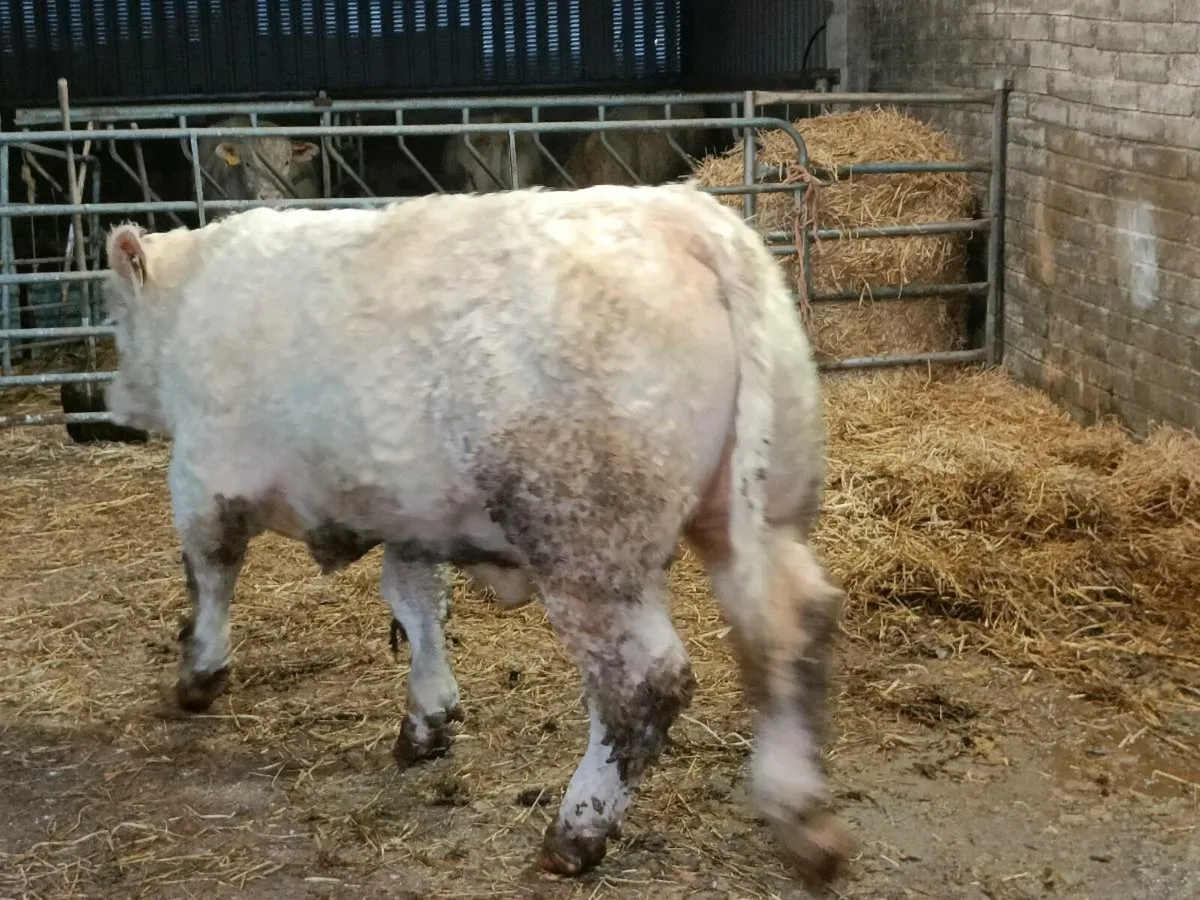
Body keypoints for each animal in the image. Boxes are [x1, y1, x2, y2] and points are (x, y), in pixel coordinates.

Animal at [100, 182, 852, 885]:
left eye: (116, 318)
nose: (109, 401)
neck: (192, 299)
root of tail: (688, 218)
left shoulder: (203, 479)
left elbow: (210, 574)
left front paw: (199, 675)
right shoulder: (411, 518)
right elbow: (416, 604)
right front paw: (426, 721)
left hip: (588, 542)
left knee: (644, 683)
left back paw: (575, 834)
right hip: (762, 511)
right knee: (792, 627)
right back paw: (804, 821)